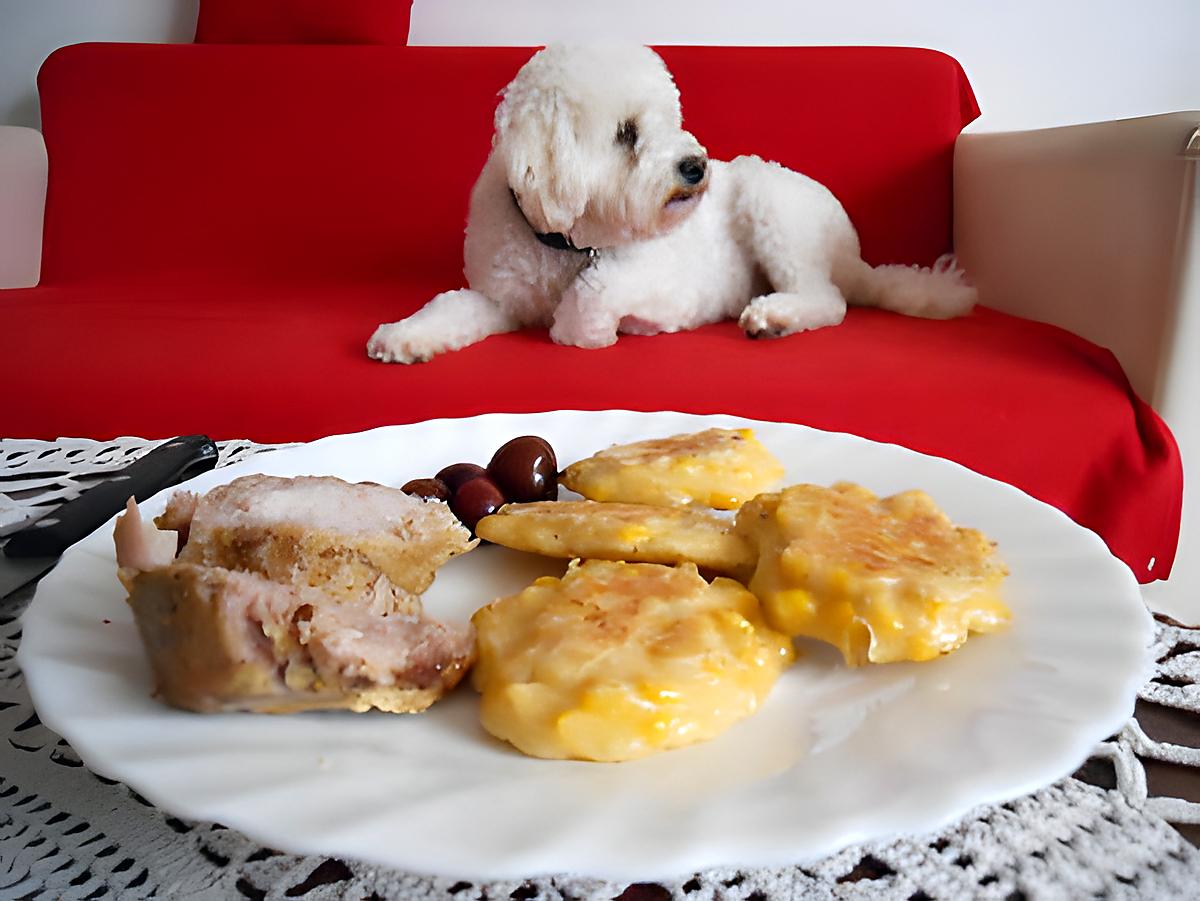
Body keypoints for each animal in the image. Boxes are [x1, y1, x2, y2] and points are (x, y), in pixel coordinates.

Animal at [367, 44, 974, 362]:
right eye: (626, 133)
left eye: (671, 119)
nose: (696, 166)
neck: (564, 244)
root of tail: (856, 259)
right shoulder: (499, 297)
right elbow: (449, 305)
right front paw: (405, 336)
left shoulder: (668, 290)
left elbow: (594, 293)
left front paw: (582, 331)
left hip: (773, 205)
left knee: (829, 299)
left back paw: (775, 315)